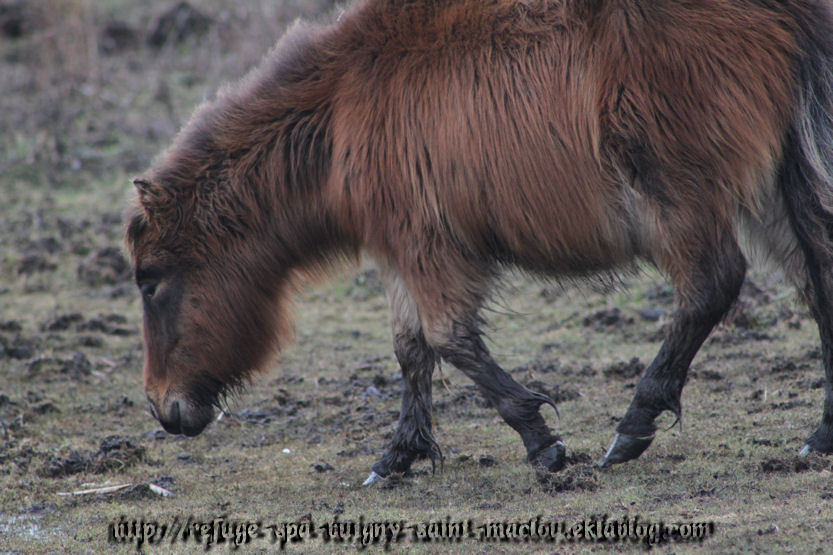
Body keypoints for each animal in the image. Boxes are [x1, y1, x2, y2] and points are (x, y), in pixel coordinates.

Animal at [123, 0, 832, 482]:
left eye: (150, 283)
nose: (163, 410)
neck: (341, 108)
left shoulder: (428, 247)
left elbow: (448, 340)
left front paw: (542, 441)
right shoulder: (400, 251)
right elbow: (410, 349)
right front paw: (397, 457)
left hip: (680, 194)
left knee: (711, 286)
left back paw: (632, 429)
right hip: (774, 186)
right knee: (817, 282)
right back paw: (820, 437)